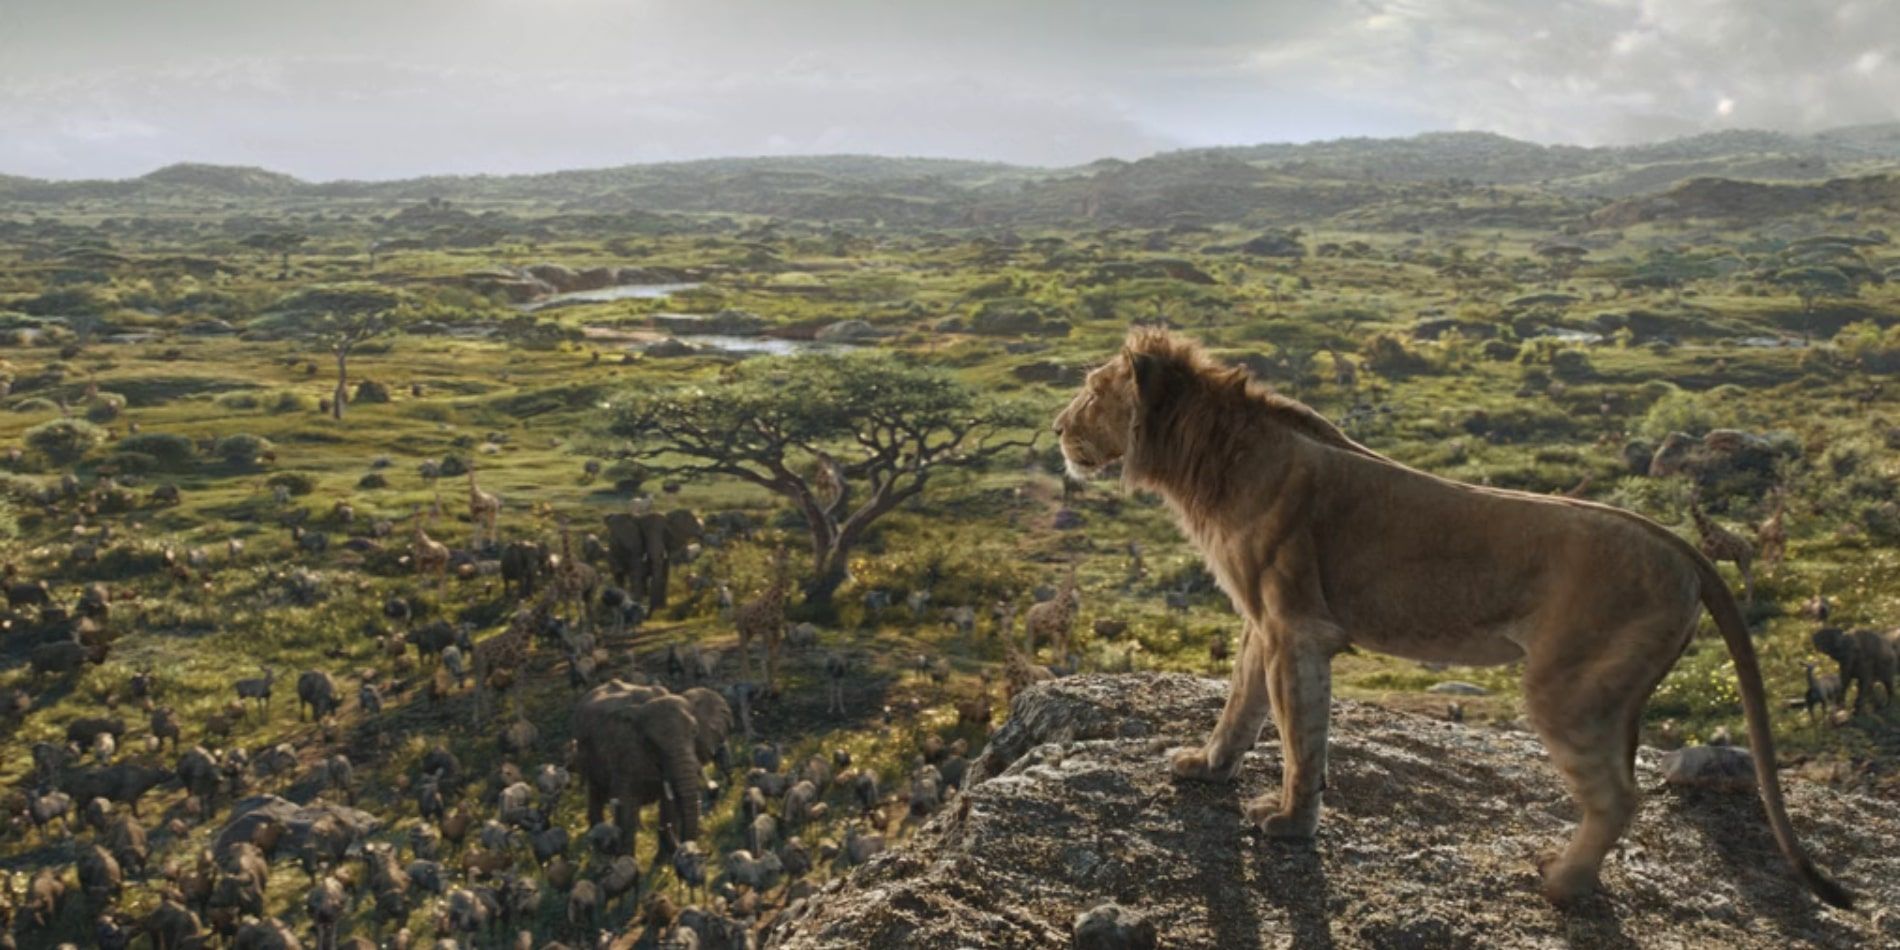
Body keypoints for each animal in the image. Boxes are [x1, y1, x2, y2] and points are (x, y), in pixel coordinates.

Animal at [1053, 328, 1851, 909]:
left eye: (1091, 391)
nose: (1057, 428)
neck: (1208, 457)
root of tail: (1680, 545)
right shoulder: (1264, 622)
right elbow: (1241, 706)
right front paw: (1206, 767)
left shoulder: (1297, 628)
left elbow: (1299, 736)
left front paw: (1288, 825)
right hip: (1616, 695)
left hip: (1567, 688)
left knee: (1619, 797)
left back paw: (1560, 884)